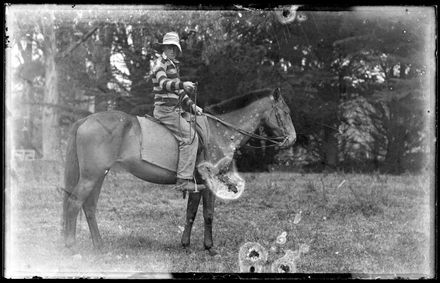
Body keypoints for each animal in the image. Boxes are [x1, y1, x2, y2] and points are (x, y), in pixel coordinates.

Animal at [62, 87, 298, 256]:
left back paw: (99, 245)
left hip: (98, 175)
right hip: (91, 176)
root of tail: (86, 119)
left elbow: (190, 213)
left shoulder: (195, 184)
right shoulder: (209, 183)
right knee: (74, 203)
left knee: (89, 206)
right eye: (285, 112)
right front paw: (209, 247)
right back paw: (71, 246)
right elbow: (208, 214)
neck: (219, 130)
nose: (293, 139)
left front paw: (185, 244)